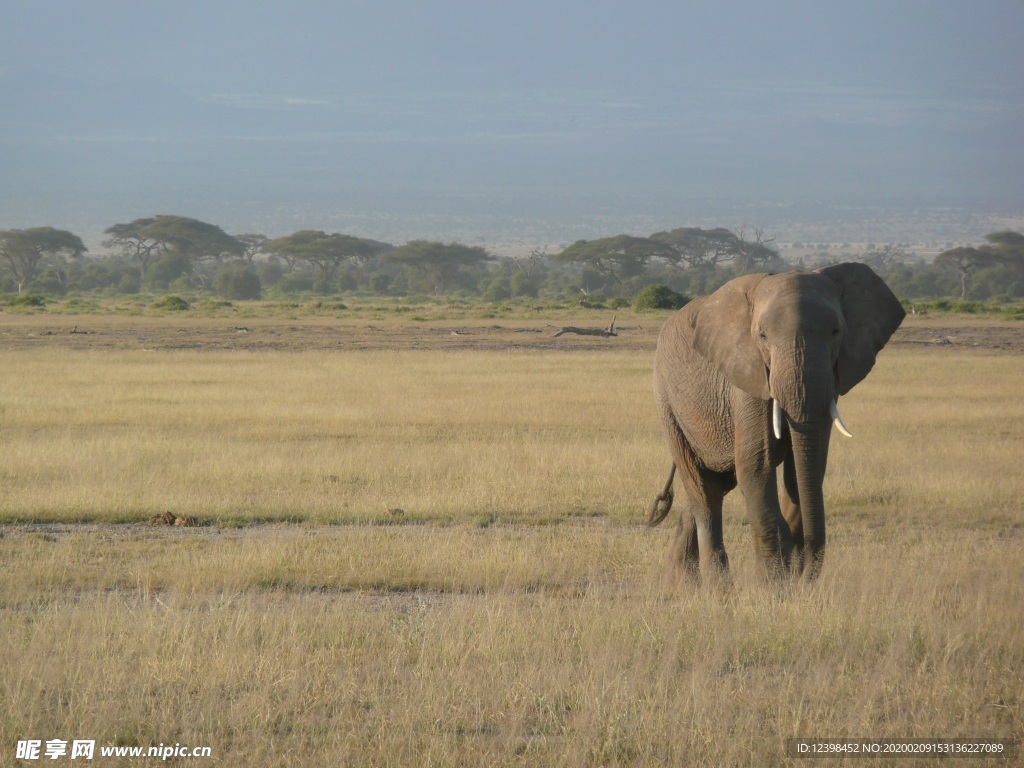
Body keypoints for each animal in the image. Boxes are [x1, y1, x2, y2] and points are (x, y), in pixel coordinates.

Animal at [647, 264, 905, 581]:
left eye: (836, 332)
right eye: (762, 336)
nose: (803, 575)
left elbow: (804, 468)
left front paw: (788, 577)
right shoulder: (747, 373)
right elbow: (756, 465)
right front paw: (774, 583)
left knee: (714, 486)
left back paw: (680, 583)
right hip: (667, 403)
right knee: (702, 491)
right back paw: (717, 587)